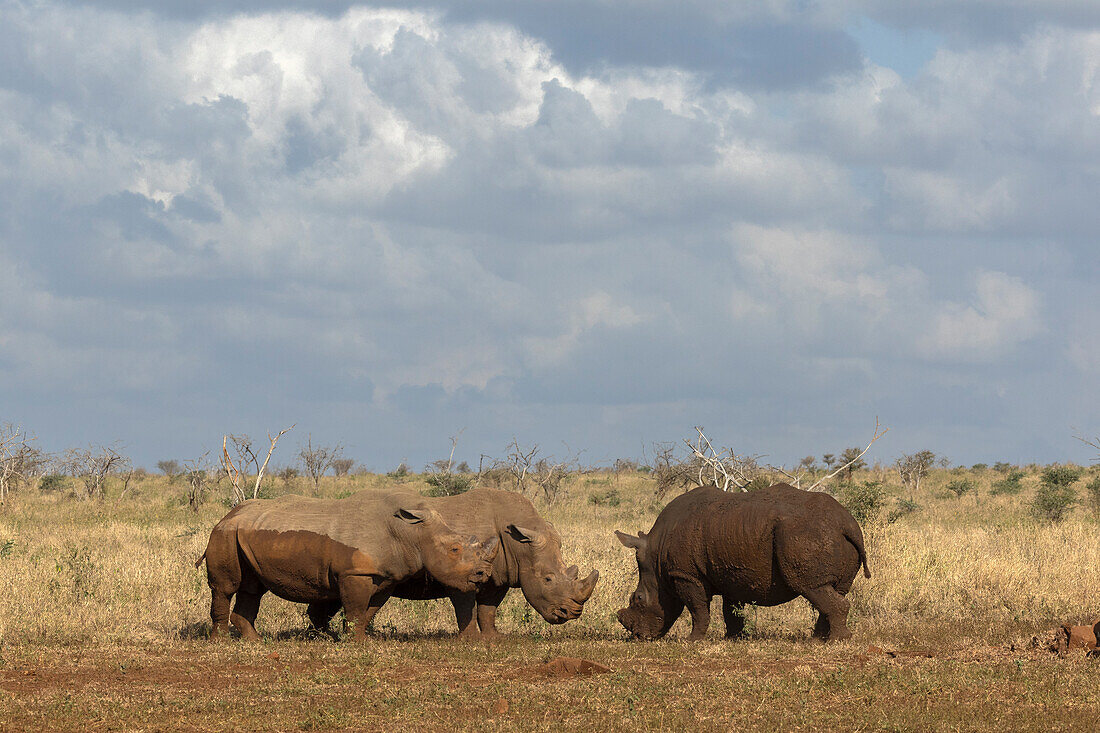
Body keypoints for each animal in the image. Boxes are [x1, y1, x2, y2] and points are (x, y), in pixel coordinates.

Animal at [196, 490, 499, 638]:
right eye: (454, 549)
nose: (483, 574)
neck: (411, 532)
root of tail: (226, 516)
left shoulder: (385, 576)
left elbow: (369, 610)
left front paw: (361, 640)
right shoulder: (355, 573)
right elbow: (355, 607)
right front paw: (355, 642)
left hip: (243, 533)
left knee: (252, 588)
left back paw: (254, 641)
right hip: (224, 535)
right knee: (226, 587)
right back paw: (221, 641)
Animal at [303, 488, 602, 638]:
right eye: (547, 579)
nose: (571, 614)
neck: (519, 542)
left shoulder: (500, 574)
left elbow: (488, 608)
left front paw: (494, 639)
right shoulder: (462, 572)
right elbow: (466, 606)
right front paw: (470, 640)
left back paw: (319, 636)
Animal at [620, 482, 866, 638]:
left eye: (638, 598)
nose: (638, 636)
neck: (656, 553)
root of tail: (846, 524)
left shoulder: (685, 575)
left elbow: (697, 609)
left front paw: (692, 640)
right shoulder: (731, 574)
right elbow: (731, 611)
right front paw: (733, 638)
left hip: (805, 535)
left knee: (811, 587)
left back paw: (836, 641)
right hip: (827, 536)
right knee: (831, 589)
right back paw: (819, 640)